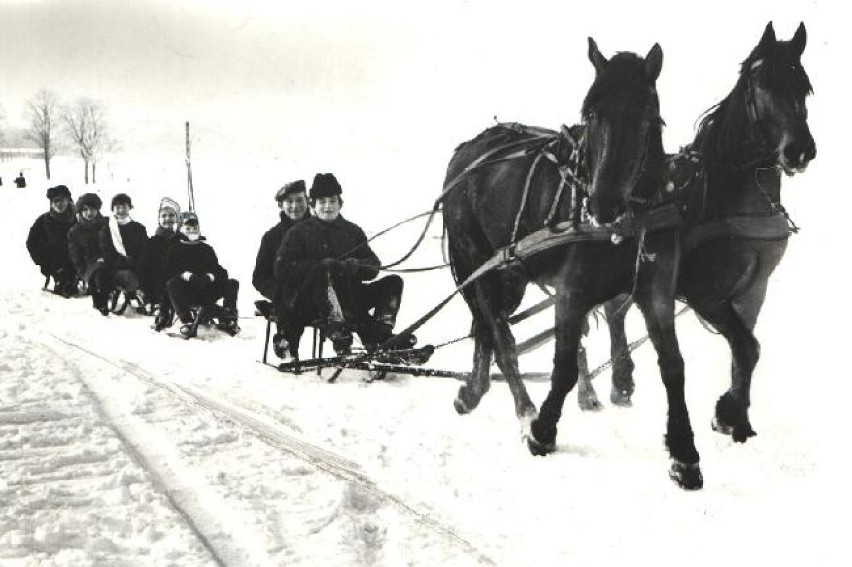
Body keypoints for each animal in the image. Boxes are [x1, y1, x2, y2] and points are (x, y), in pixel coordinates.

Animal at [442, 40, 704, 490]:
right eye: (591, 112)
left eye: (646, 115)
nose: (603, 204)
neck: (628, 220)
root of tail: (468, 153)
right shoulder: (572, 291)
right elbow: (563, 365)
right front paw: (543, 431)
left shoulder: (655, 291)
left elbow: (673, 366)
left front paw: (684, 456)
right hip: (478, 262)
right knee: (500, 335)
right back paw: (523, 409)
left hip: (511, 274)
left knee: (487, 327)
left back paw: (473, 390)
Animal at [584, 23, 812, 440]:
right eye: (762, 85)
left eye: (803, 86)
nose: (799, 151)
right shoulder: (706, 294)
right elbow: (747, 347)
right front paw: (728, 411)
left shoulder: (754, 291)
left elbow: (745, 350)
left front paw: (735, 415)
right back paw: (598, 387)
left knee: (614, 309)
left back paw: (620, 382)